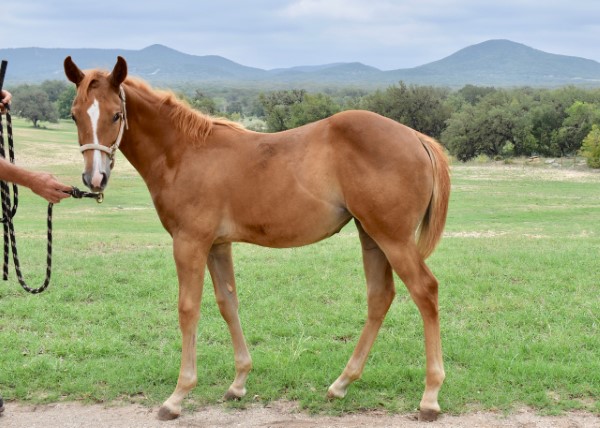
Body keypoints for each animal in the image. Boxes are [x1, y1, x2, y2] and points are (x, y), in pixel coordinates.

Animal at [65, 55, 450, 420]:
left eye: (116, 115)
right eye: (75, 115)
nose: (94, 178)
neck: (184, 152)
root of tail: (417, 138)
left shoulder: (189, 242)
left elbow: (188, 309)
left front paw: (177, 397)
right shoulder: (217, 245)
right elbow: (227, 303)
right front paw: (238, 383)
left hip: (393, 238)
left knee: (425, 291)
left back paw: (430, 396)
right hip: (370, 234)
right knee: (380, 296)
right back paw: (341, 384)